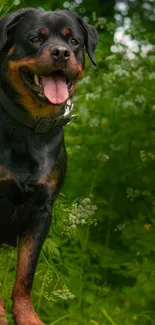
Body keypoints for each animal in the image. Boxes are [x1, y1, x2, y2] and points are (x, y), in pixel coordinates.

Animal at [0, 7, 97, 324]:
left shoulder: (42, 210)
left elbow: (25, 274)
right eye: (35, 38)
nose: (60, 53)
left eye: (74, 41)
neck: (29, 128)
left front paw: (26, 315)